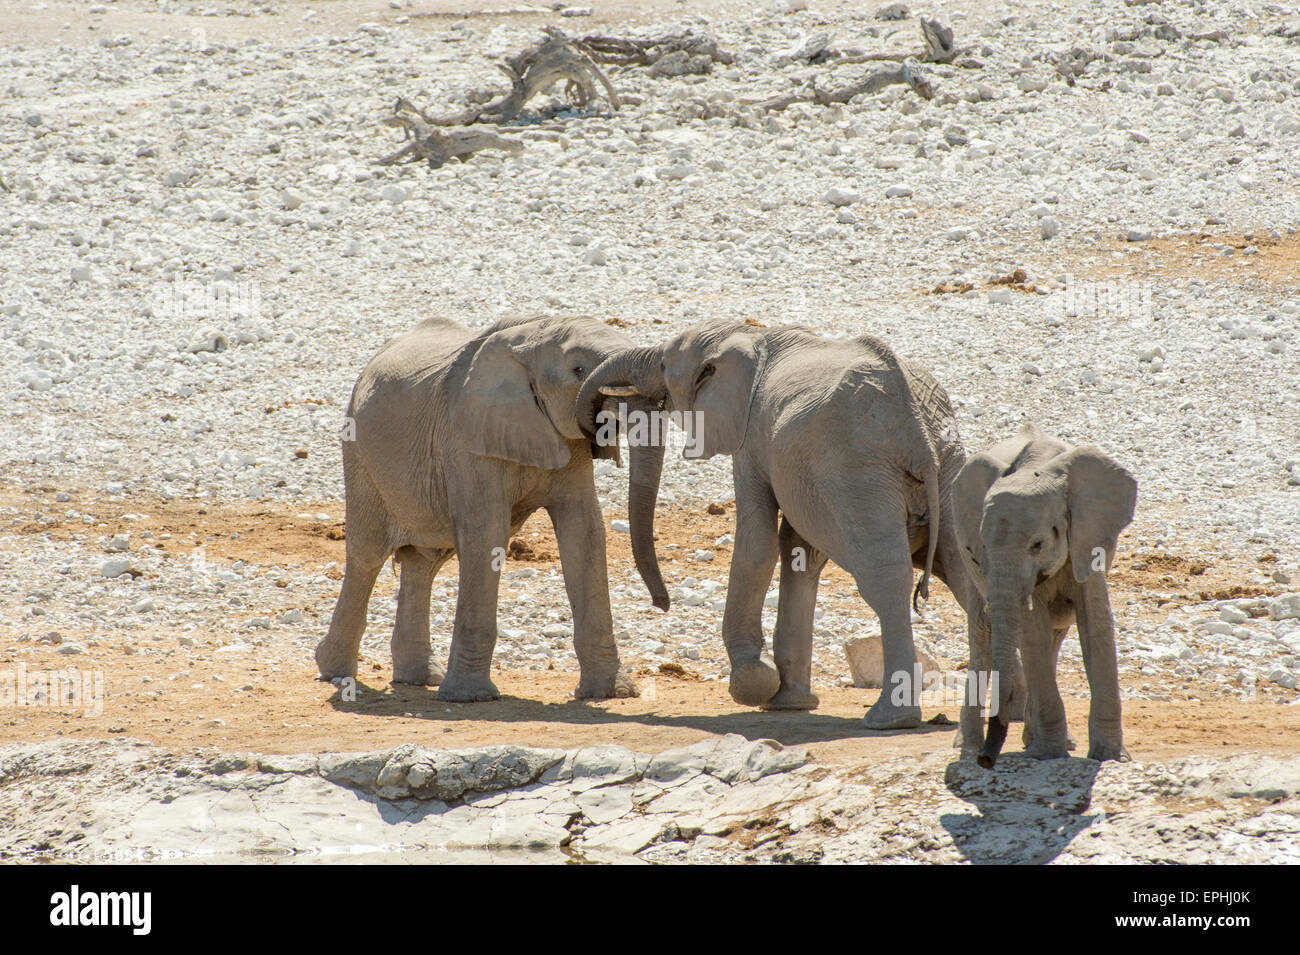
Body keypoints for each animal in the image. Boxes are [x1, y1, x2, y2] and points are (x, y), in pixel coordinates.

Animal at [312, 314, 670, 701]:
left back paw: (420, 678)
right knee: (367, 557)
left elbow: (585, 533)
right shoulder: (467, 441)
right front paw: (470, 697)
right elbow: (487, 535)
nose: (661, 604)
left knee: (424, 562)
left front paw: (612, 693)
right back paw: (335, 671)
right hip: (359, 454)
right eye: (578, 370)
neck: (535, 338)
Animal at [574, 320, 987, 732]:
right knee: (969, 578)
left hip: (862, 473)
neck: (746, 335)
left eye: (662, 364)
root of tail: (918, 433)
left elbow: (758, 542)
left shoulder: (752, 437)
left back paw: (890, 719)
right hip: (948, 469)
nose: (662, 604)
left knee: (886, 579)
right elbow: (798, 550)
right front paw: (789, 702)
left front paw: (753, 682)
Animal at [956, 420, 1138, 764]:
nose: (987, 760)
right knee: (983, 635)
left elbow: (1096, 622)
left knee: (1054, 636)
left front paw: (1111, 758)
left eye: (1037, 544)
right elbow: (1032, 630)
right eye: (980, 548)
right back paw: (968, 748)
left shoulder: (1087, 533)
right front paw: (1049, 755)